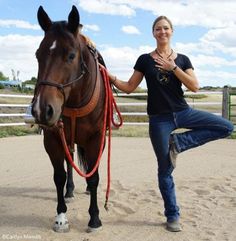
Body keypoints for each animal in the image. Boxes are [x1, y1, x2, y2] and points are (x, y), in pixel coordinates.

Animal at [32, 5, 107, 232]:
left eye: (71, 55)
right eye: (38, 54)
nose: (41, 109)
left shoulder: (96, 139)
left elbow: (94, 177)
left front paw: (94, 219)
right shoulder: (53, 139)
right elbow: (59, 176)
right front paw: (61, 216)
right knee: (69, 162)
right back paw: (70, 191)